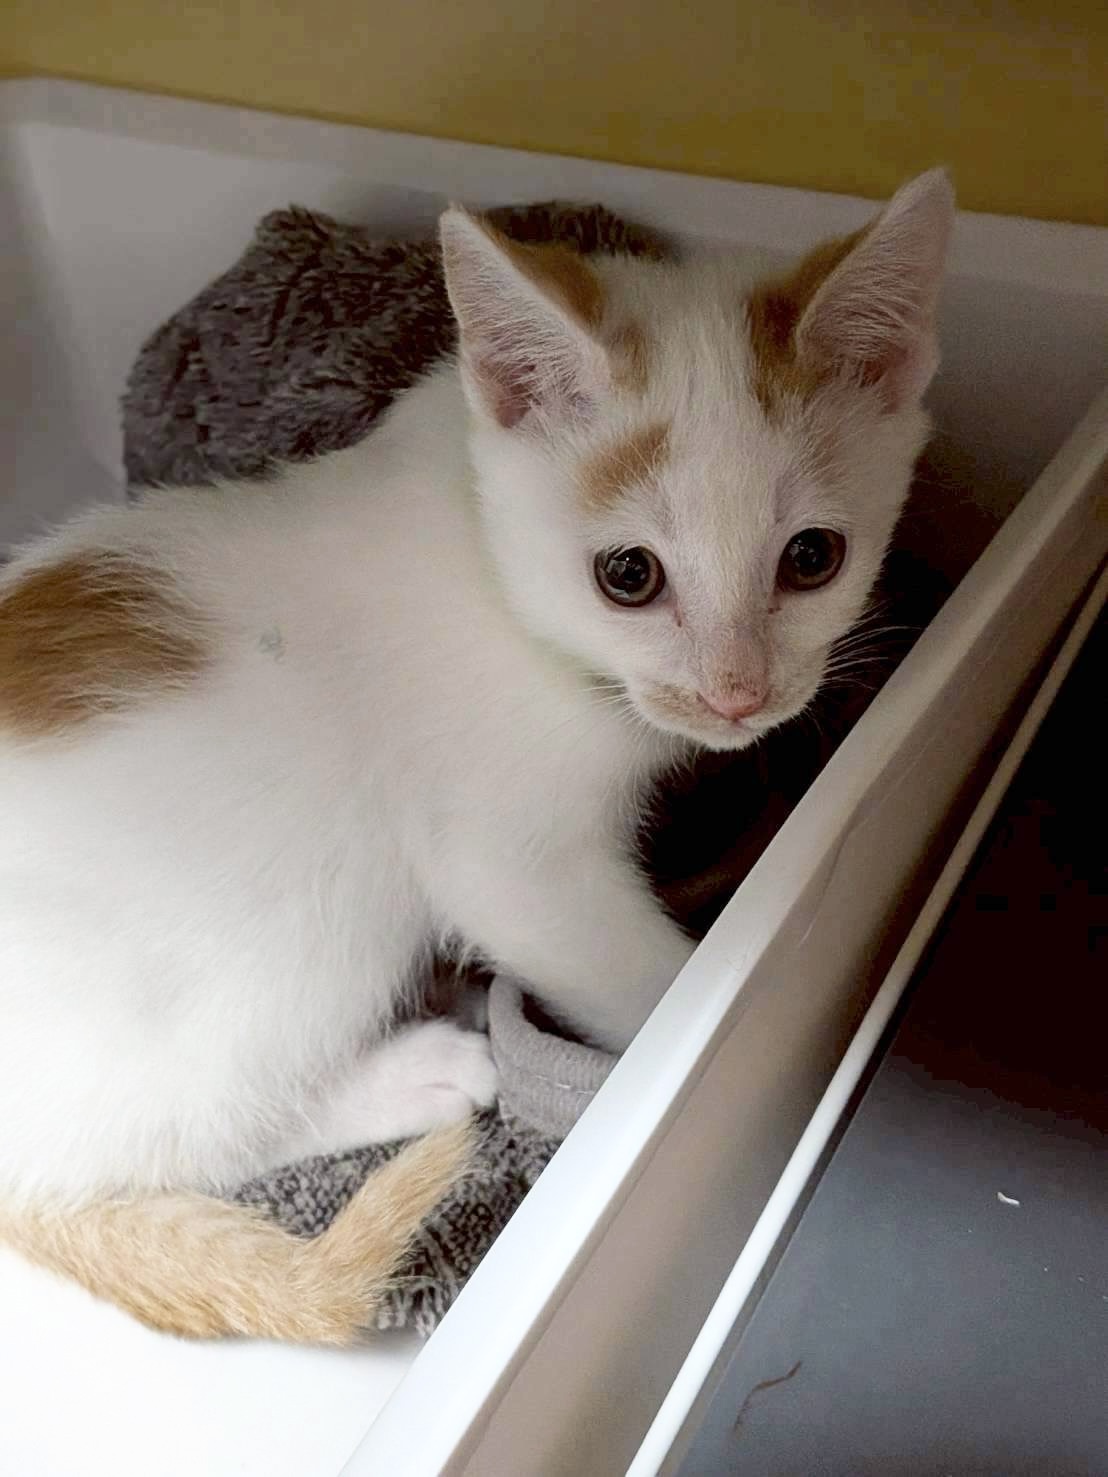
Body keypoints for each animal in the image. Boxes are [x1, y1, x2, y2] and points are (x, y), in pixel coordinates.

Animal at [0, 169, 953, 1343]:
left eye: (814, 557)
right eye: (628, 575)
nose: (738, 693)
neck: (489, 551)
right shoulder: (506, 859)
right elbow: (650, 987)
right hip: (279, 933)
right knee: (165, 1135)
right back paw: (413, 1077)